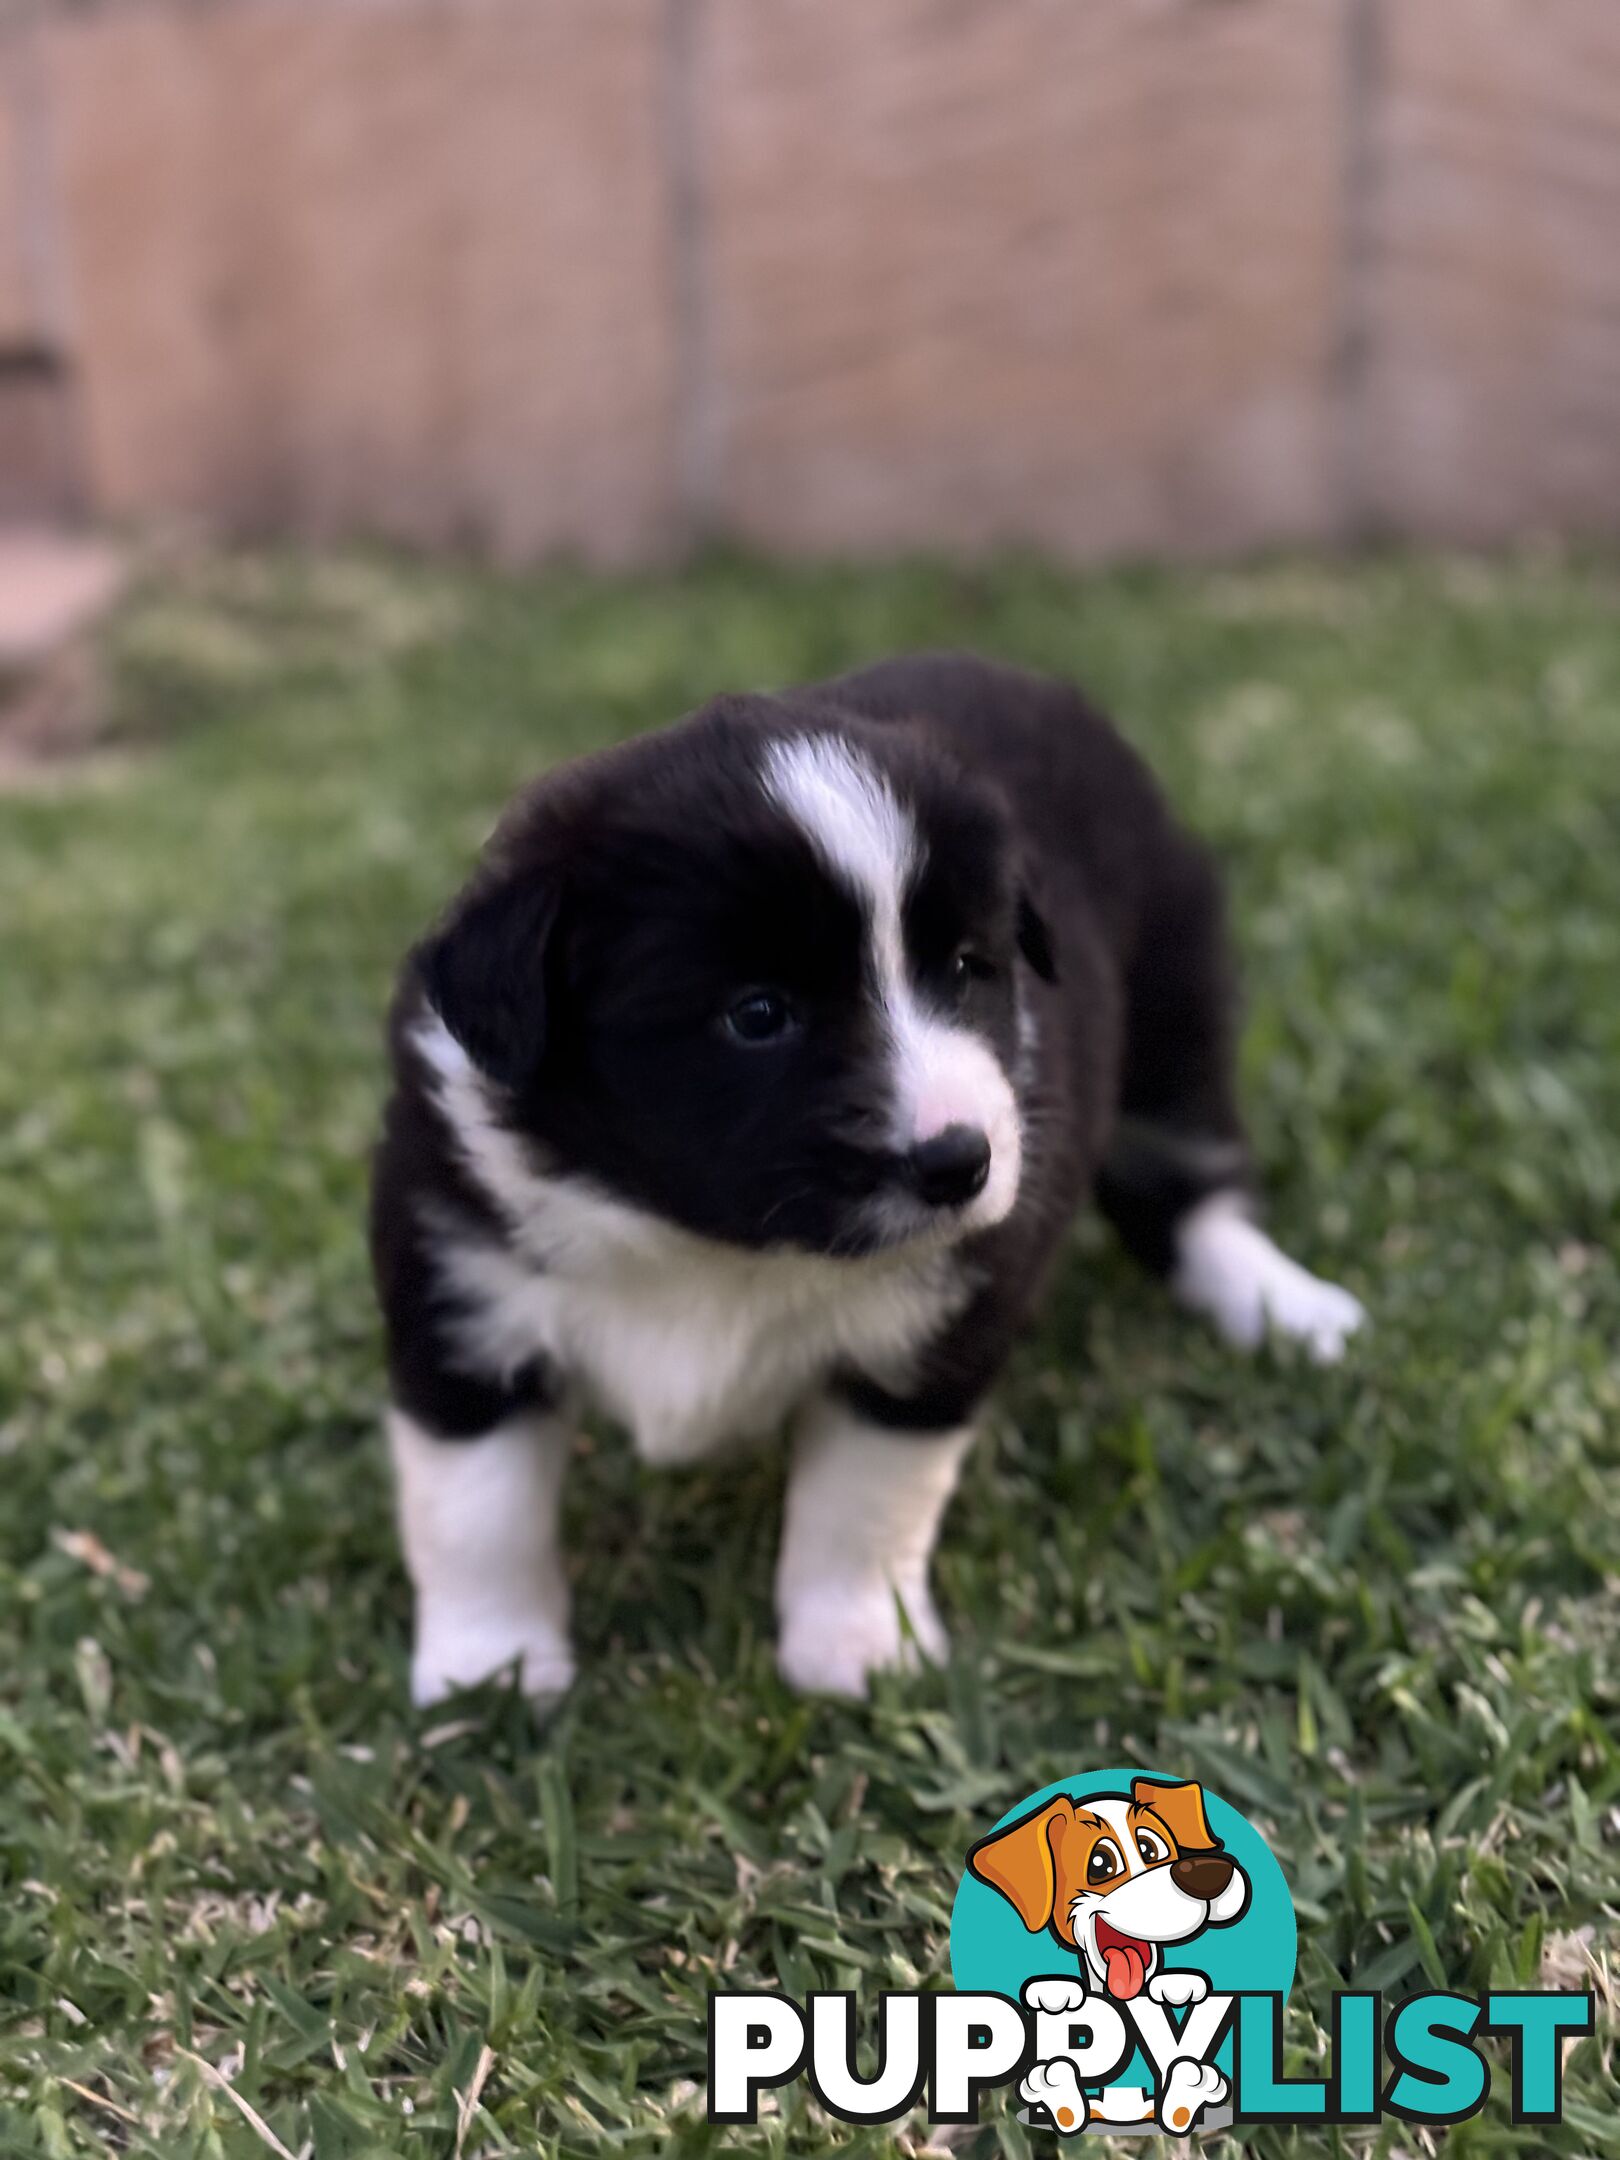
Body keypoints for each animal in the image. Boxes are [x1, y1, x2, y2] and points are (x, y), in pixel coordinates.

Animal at [371, 648, 1373, 1693]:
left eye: (969, 967)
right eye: (757, 1014)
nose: (960, 1163)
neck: (708, 1238)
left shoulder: (930, 1329)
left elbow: (863, 1502)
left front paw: (858, 1653)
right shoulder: (458, 1292)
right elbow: (476, 1512)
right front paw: (491, 1674)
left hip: (1172, 994)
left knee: (1187, 1181)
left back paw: (1284, 1306)